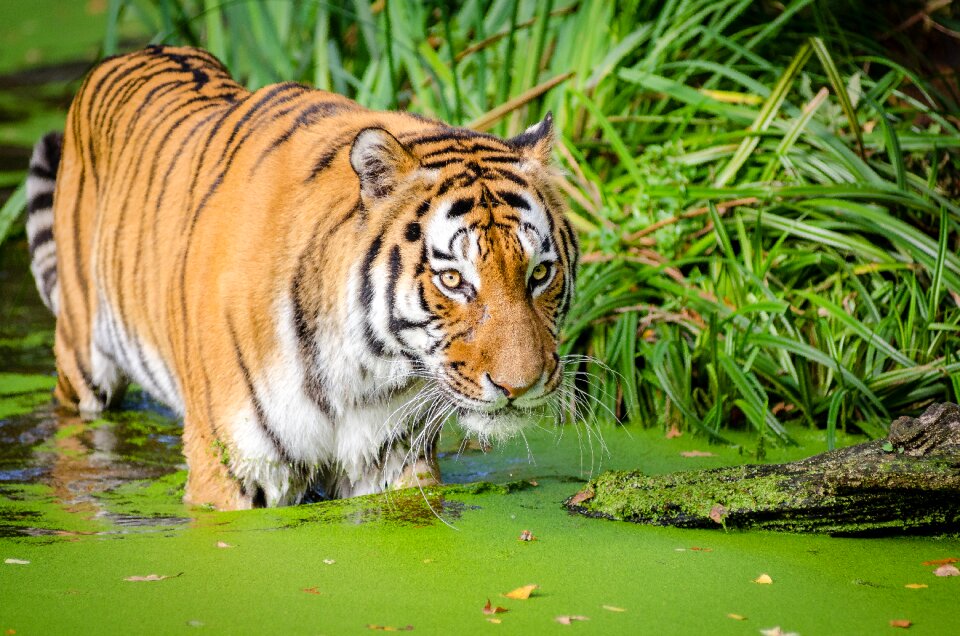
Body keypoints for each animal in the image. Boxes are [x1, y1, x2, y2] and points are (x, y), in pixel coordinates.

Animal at [24, 44, 576, 510]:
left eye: (540, 273)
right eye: (454, 281)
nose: (519, 387)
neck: (366, 371)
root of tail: (129, 53)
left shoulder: (390, 460)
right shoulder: (231, 467)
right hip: (82, 364)